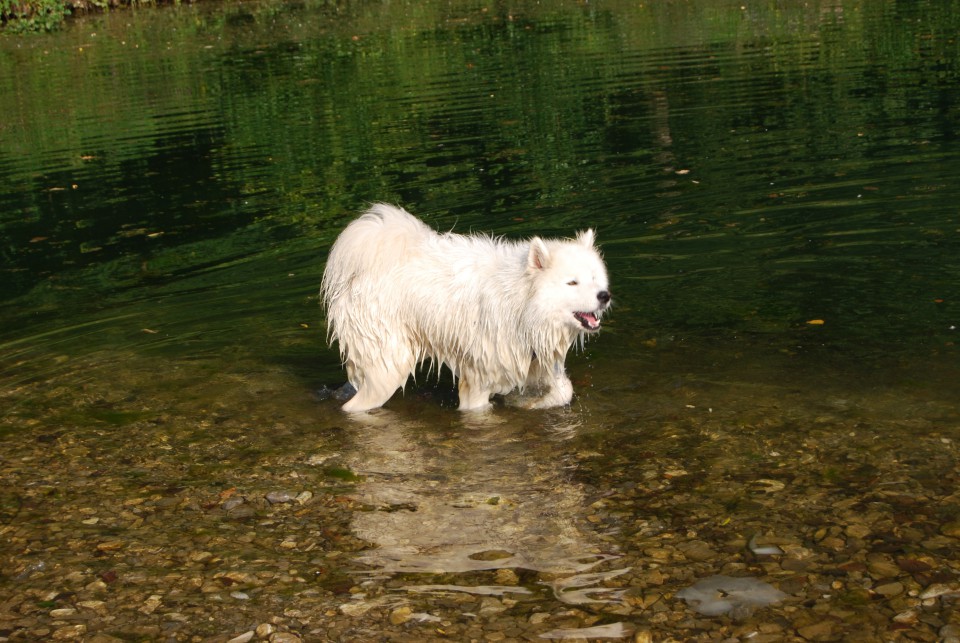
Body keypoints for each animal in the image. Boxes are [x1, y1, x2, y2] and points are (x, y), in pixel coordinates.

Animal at [320, 204, 608, 412]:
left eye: (595, 278)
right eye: (572, 282)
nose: (604, 296)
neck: (521, 305)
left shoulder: (536, 358)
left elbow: (564, 390)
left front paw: (533, 403)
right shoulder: (479, 376)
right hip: (388, 366)